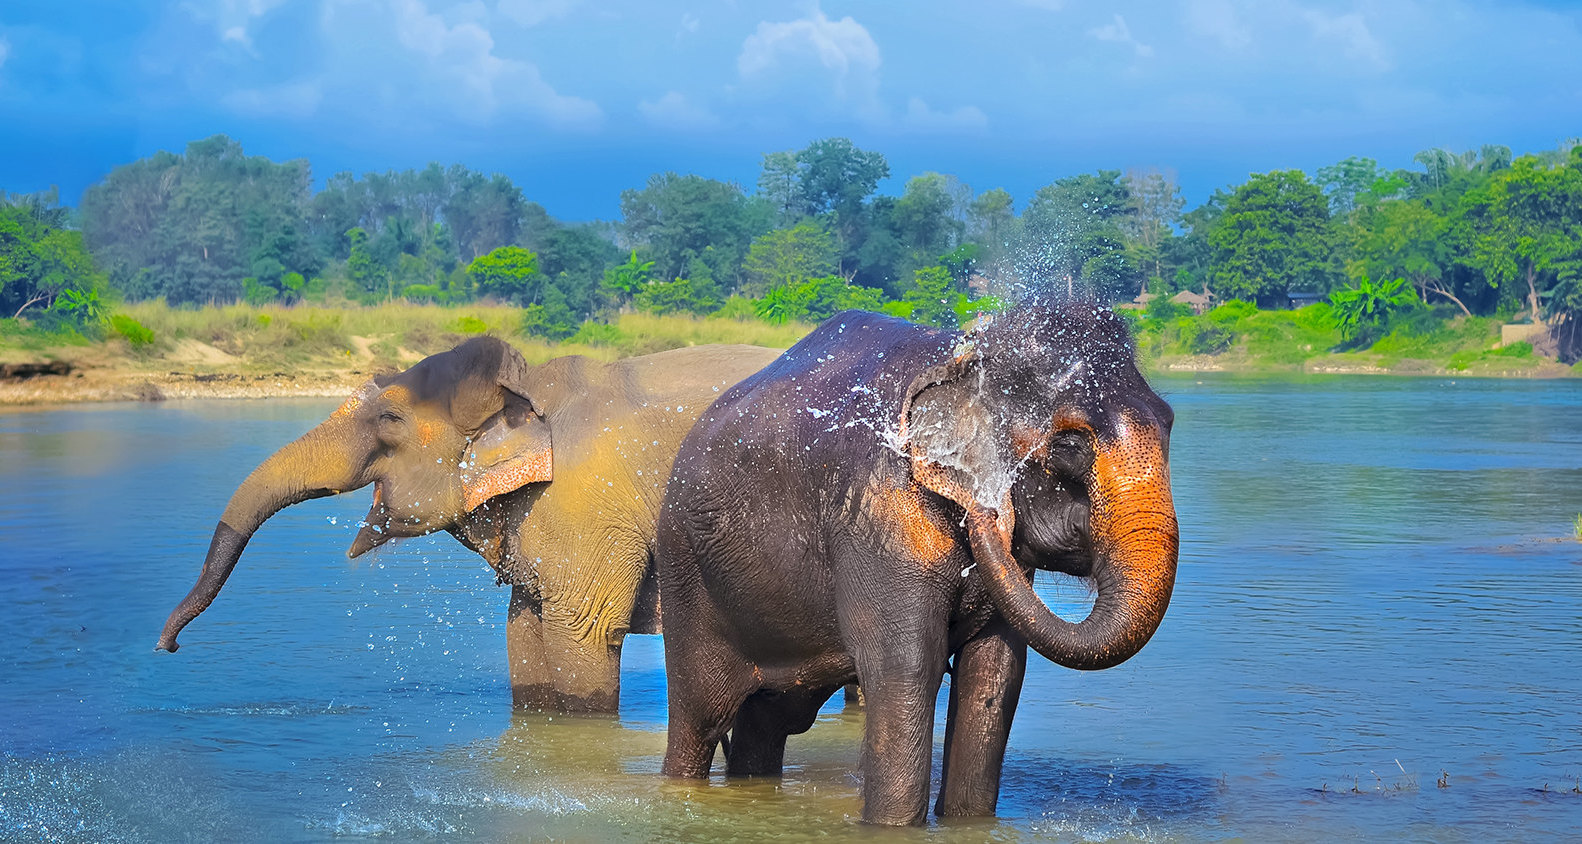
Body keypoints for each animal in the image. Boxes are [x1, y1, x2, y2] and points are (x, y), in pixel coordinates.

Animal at [154, 338, 784, 714]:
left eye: (390, 418)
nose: (168, 646)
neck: (527, 391)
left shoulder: (589, 504)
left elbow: (584, 634)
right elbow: (523, 630)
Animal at [651, 305, 1177, 828]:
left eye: (1170, 424)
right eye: (1071, 446)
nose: (987, 510)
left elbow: (995, 674)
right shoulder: (881, 517)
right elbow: (906, 666)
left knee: (769, 720)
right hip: (686, 575)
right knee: (701, 719)